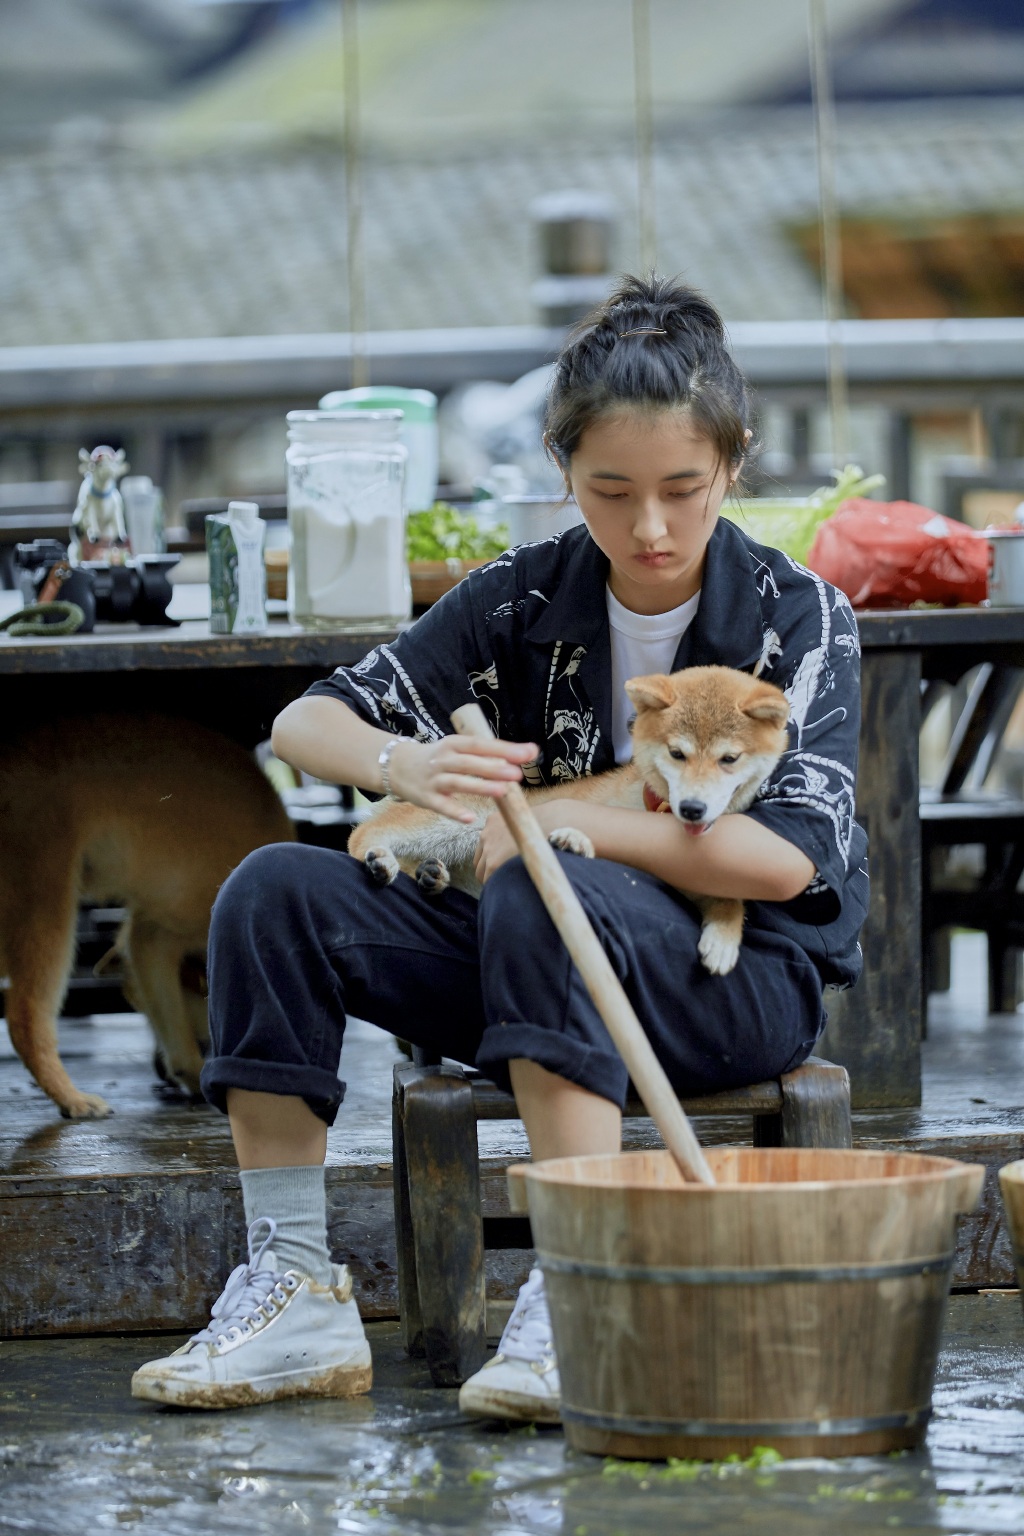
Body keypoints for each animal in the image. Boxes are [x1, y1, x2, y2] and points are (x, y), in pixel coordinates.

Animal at [1, 712, 296, 1124]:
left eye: (135, 1002)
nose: (159, 1069)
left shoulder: (145, 933)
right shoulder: (161, 934)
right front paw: (194, 1070)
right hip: (45, 893)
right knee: (26, 1017)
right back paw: (70, 1096)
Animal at [348, 660, 792, 970]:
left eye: (729, 759)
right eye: (677, 753)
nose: (693, 808)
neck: (655, 813)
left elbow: (730, 900)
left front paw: (723, 938)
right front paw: (575, 841)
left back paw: (429, 874)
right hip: (460, 822)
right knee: (361, 836)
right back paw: (383, 861)